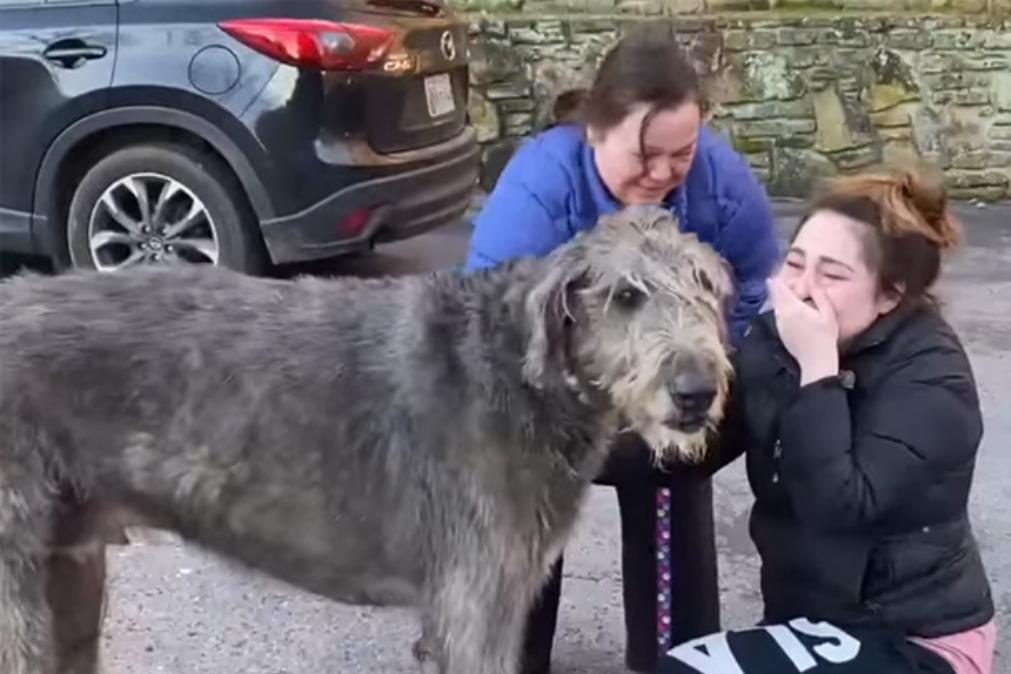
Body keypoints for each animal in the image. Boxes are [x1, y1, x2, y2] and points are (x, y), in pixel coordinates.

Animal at [0, 207, 731, 674]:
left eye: (705, 287)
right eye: (626, 295)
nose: (696, 391)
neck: (517, 371)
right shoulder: (475, 601)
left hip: (70, 571)